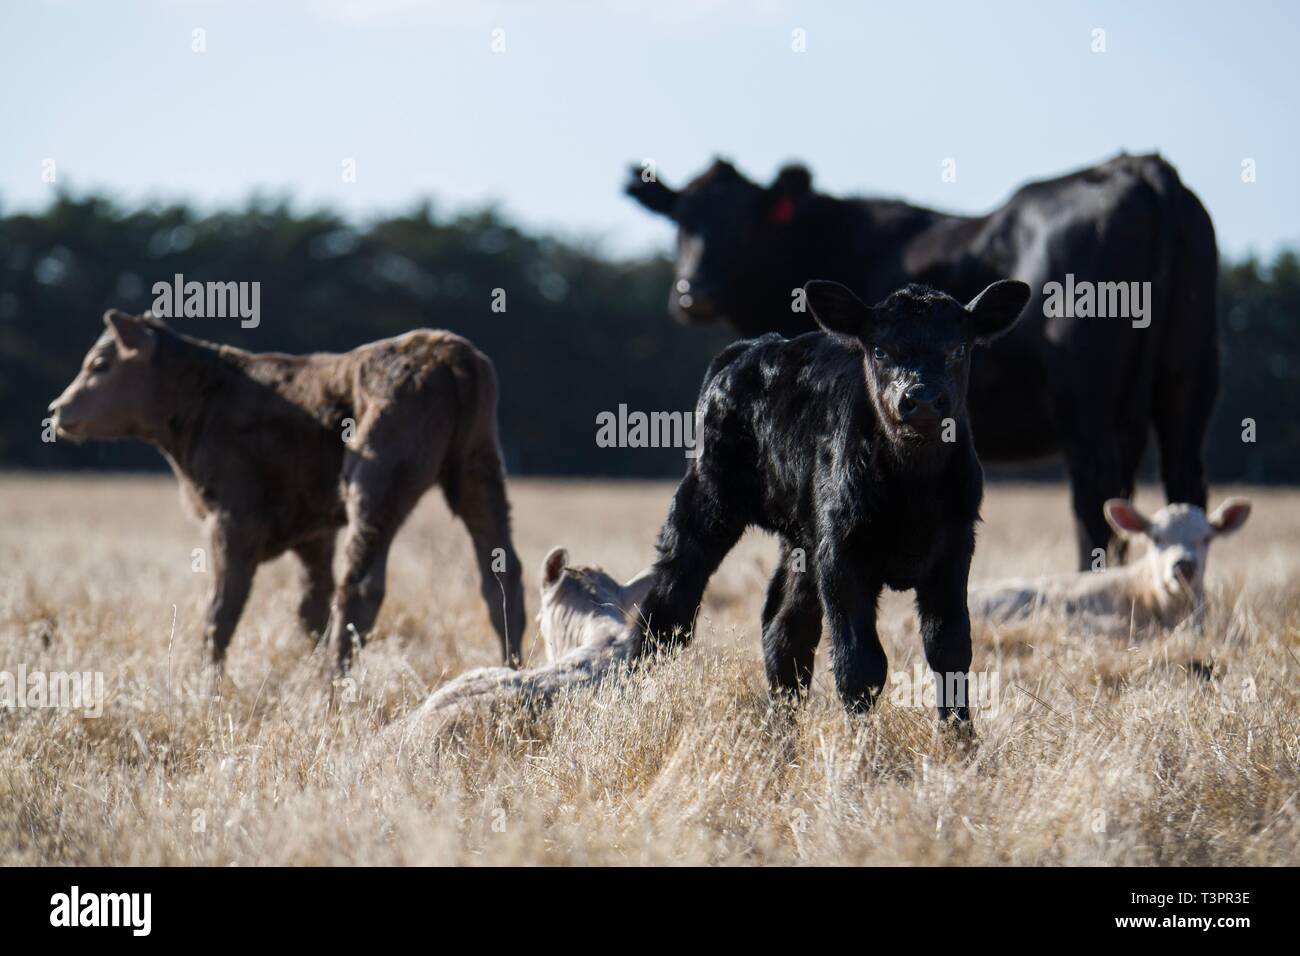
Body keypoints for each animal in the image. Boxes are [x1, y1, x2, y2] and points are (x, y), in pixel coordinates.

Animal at [47, 310, 526, 670]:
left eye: (99, 364)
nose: (57, 408)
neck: (204, 398)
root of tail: (445, 350)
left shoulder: (233, 519)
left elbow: (221, 610)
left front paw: (208, 686)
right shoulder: (314, 532)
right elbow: (309, 607)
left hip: (376, 482)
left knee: (360, 588)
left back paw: (334, 689)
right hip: (480, 470)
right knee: (500, 573)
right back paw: (511, 670)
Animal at [625, 154, 1219, 570]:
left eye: (745, 223)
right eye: (680, 221)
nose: (694, 292)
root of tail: (1139, 166)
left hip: (1086, 399)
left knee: (1095, 497)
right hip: (1188, 380)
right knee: (1184, 485)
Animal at [632, 278, 1031, 722]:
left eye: (959, 348)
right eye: (880, 349)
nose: (923, 399)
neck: (913, 486)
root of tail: (748, 349)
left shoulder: (954, 547)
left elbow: (950, 650)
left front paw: (959, 737)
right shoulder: (841, 553)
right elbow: (860, 662)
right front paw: (861, 739)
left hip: (802, 537)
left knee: (784, 627)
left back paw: (781, 726)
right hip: (707, 495)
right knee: (669, 600)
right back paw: (635, 693)